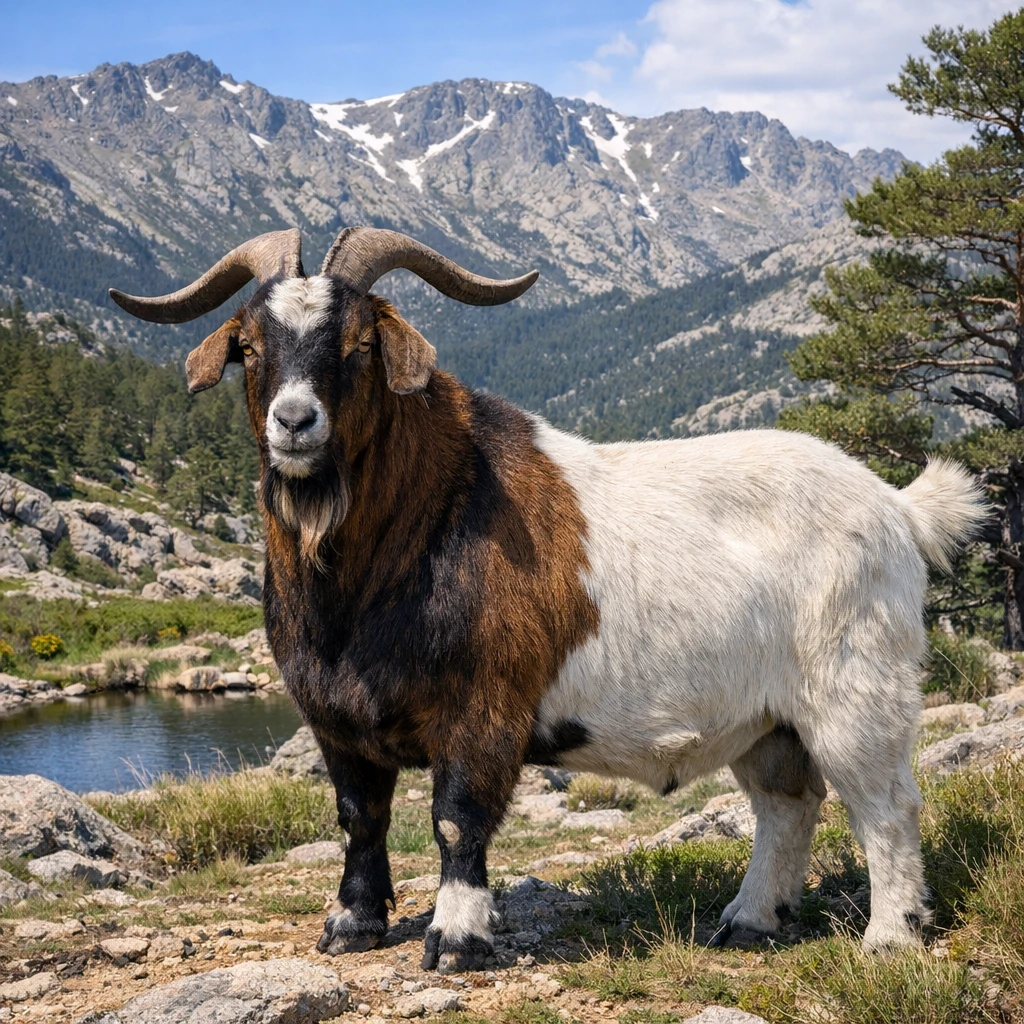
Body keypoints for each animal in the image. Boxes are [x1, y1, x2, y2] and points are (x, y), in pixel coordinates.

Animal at [111, 227, 987, 972]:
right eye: (249, 347)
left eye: (360, 344)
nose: (296, 422)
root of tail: (897, 507)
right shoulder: (336, 718)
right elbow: (360, 818)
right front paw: (352, 925)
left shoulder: (481, 709)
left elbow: (458, 817)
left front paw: (456, 939)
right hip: (768, 717)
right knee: (787, 803)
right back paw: (747, 921)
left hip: (852, 688)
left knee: (886, 804)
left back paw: (889, 938)